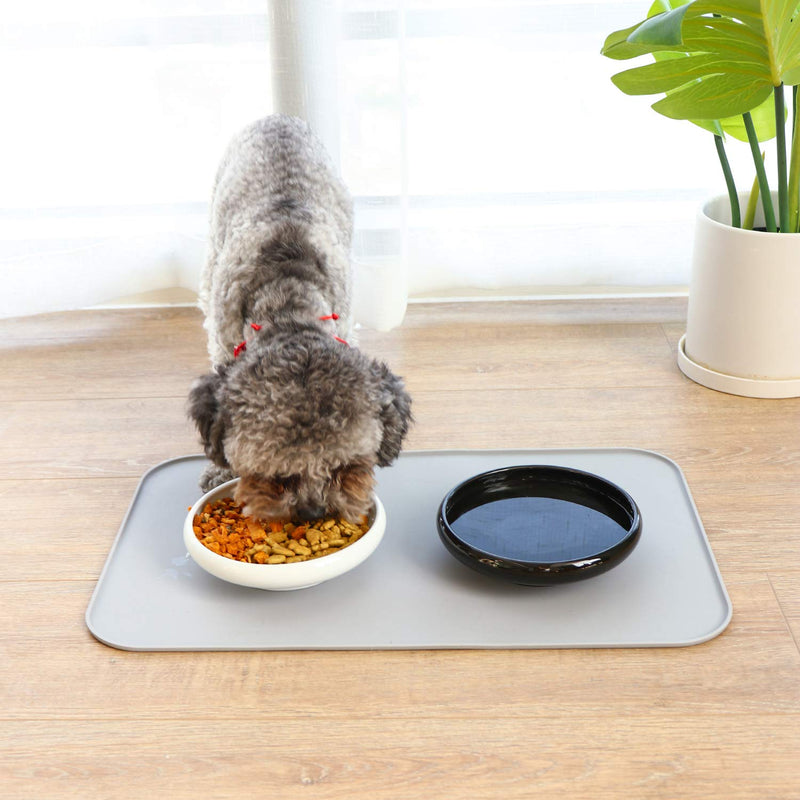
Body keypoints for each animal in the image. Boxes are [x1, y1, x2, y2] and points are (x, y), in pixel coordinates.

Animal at [188, 114, 412, 524]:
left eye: (345, 466)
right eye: (274, 474)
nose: (313, 512)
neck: (288, 301)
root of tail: (277, 119)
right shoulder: (224, 341)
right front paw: (219, 470)